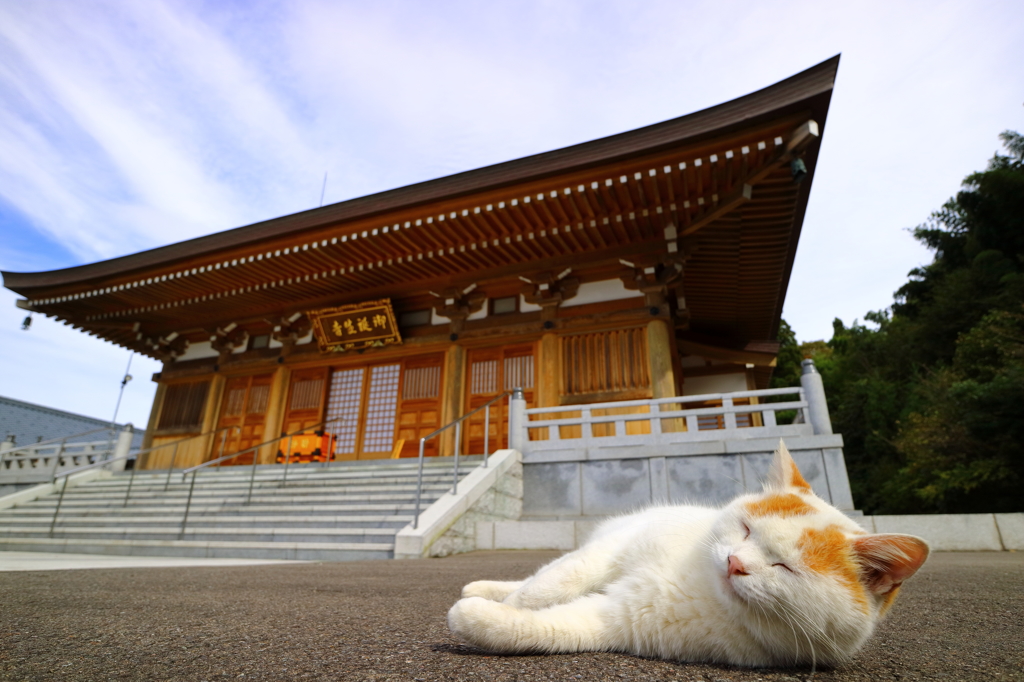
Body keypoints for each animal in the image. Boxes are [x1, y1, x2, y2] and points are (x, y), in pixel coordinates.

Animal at [448, 440, 929, 663]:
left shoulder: (620, 619)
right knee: (543, 572)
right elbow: (549, 585)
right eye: (746, 530)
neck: (697, 580)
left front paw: (475, 616)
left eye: (785, 567)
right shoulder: (612, 551)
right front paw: (507, 601)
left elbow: (544, 629)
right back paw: (484, 586)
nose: (735, 562)